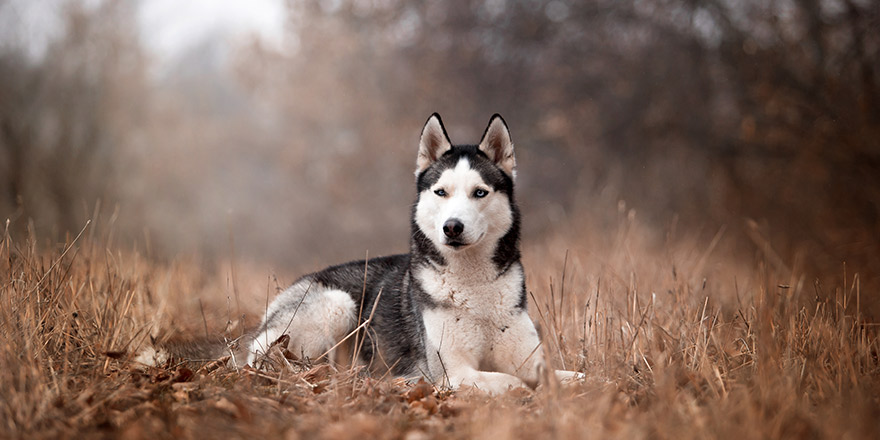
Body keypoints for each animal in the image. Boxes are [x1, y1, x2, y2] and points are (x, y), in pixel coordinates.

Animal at [244, 113, 580, 396]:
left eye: (480, 192)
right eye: (441, 192)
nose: (452, 227)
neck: (473, 285)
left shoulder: (529, 357)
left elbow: (574, 376)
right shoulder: (453, 372)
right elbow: (515, 382)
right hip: (337, 305)